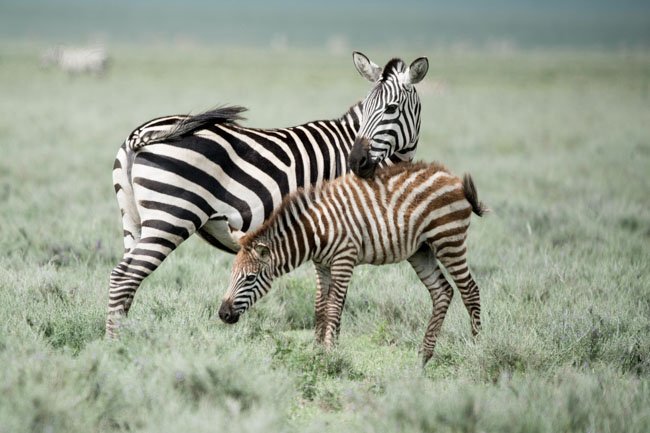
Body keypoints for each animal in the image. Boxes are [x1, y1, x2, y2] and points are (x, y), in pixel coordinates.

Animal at [106, 49, 428, 334]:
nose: (356, 161)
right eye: (369, 106)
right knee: (123, 279)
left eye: (390, 109)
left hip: (133, 220)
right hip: (170, 218)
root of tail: (140, 135)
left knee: (125, 282)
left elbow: (325, 300)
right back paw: (117, 345)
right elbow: (334, 301)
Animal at [220, 160, 484, 362]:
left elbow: (333, 307)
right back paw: (424, 356)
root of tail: (452, 177)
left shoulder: (343, 259)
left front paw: (328, 354)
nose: (223, 315)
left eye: (250, 278)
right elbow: (320, 307)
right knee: (443, 292)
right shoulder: (322, 265)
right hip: (421, 251)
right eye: (231, 275)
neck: (314, 231)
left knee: (470, 290)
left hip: (448, 239)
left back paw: (477, 348)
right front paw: (317, 350)